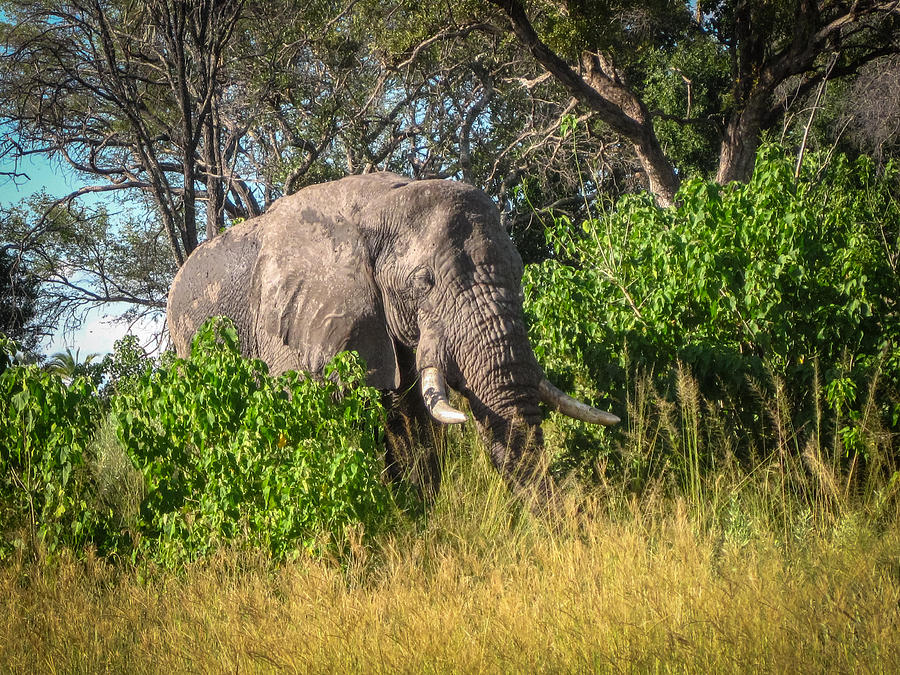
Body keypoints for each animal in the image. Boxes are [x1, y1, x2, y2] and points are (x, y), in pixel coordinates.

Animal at [167, 172, 620, 510]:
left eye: (520, 272)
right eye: (423, 282)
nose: (567, 528)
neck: (381, 203)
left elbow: (415, 424)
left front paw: (419, 517)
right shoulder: (292, 328)